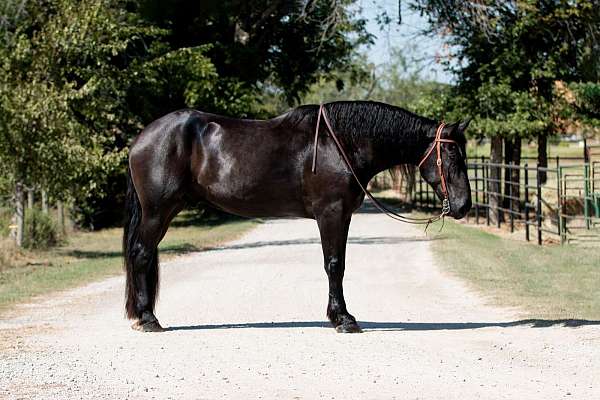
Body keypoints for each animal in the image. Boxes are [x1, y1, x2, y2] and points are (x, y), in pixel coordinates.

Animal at [124, 101, 472, 332]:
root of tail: (142, 137)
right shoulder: (330, 213)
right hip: (158, 211)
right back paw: (148, 319)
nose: (464, 205)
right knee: (141, 254)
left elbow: (339, 264)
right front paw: (344, 319)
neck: (340, 144)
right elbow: (334, 265)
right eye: (450, 154)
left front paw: (339, 315)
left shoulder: (342, 215)